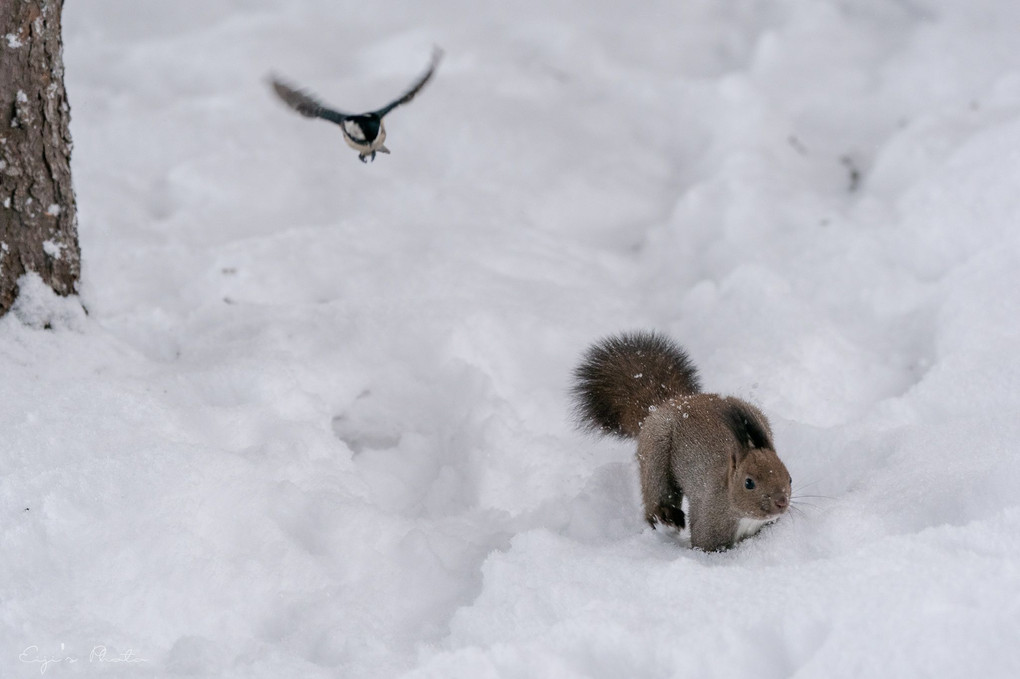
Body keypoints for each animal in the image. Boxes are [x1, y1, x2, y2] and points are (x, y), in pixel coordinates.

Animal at [571, 330, 791, 546]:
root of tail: (673, 402)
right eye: (749, 483)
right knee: (658, 492)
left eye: (789, 477)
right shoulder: (709, 522)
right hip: (656, 452)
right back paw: (666, 517)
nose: (781, 502)